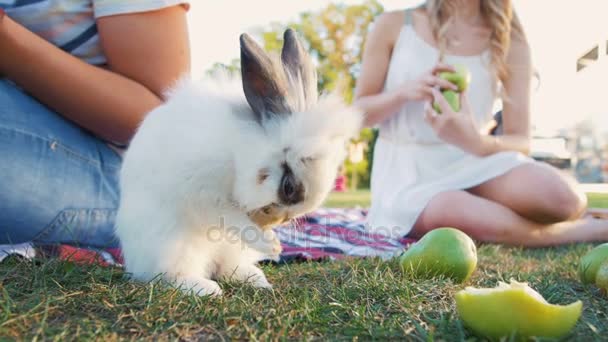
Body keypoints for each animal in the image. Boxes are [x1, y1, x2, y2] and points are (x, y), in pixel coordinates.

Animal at [115, 30, 360, 296]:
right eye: (288, 188)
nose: (282, 221)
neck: (238, 152)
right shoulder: (204, 194)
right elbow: (230, 218)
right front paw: (272, 245)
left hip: (230, 250)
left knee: (224, 267)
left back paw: (256, 280)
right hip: (173, 245)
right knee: (167, 275)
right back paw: (205, 288)